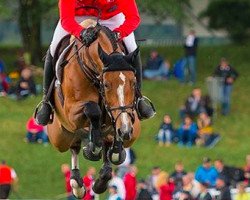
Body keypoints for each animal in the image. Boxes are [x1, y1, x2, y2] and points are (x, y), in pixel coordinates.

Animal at [45, 17, 142, 198]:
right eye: (106, 84)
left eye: (133, 83)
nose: (126, 130)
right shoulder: (72, 112)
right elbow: (93, 110)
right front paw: (93, 148)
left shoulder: (121, 114)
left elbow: (115, 125)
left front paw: (115, 149)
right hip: (60, 137)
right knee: (74, 146)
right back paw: (77, 183)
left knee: (105, 147)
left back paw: (102, 177)